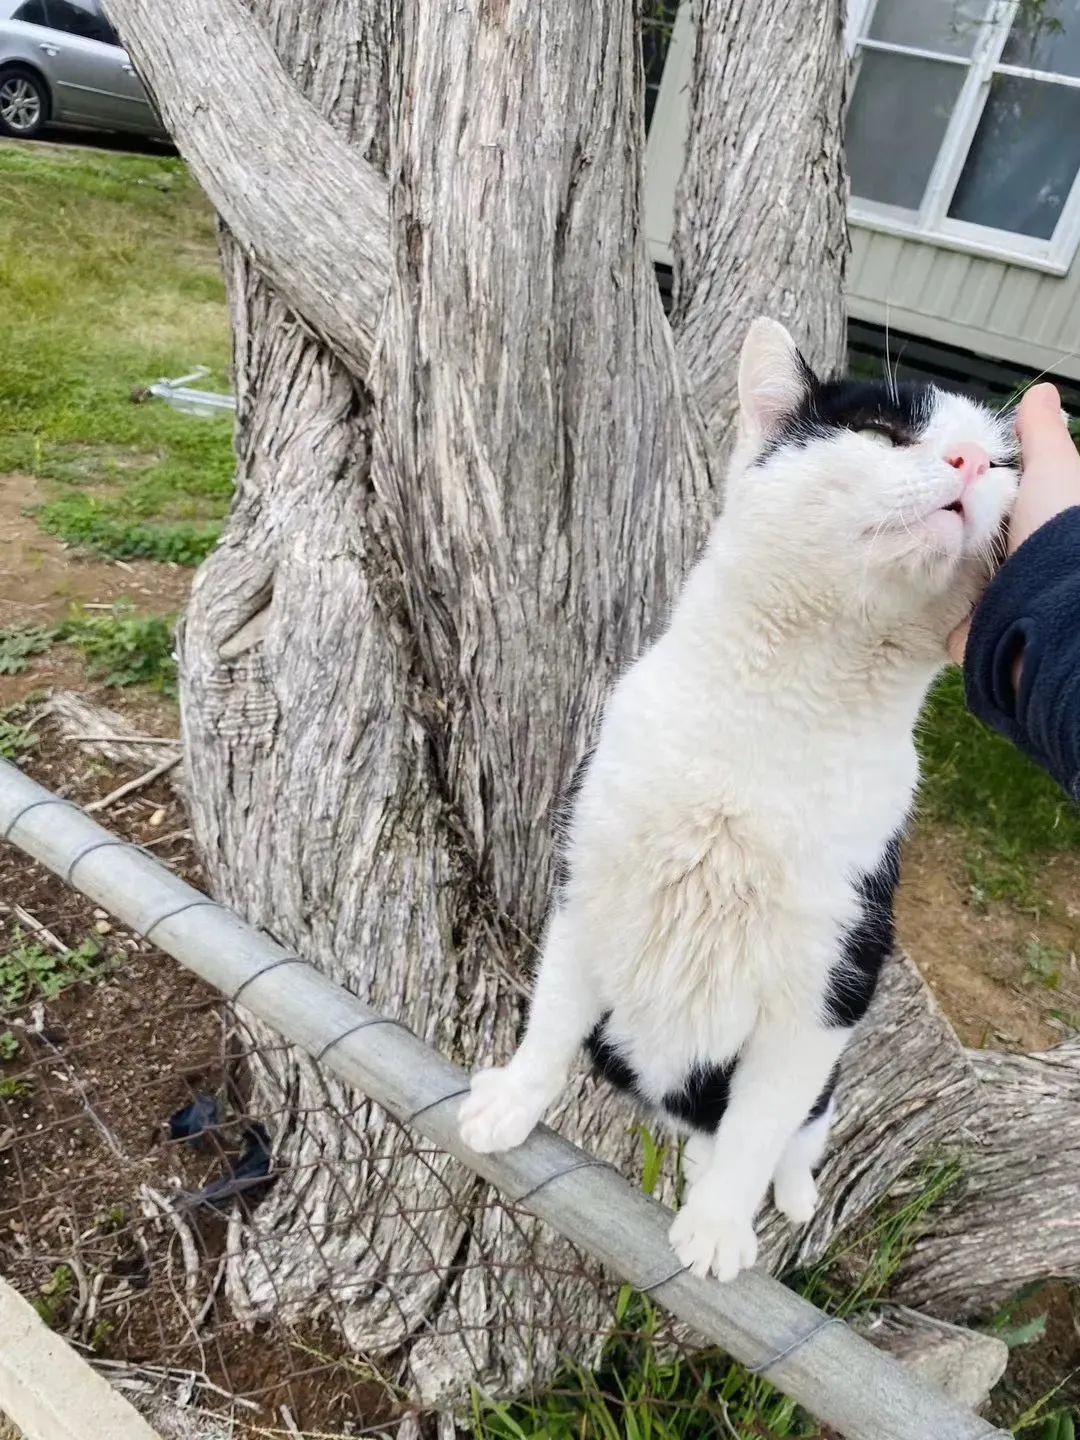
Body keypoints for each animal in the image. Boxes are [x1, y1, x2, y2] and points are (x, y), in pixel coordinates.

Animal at [460, 318, 1019, 1284]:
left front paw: (721, 1226)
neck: (785, 710)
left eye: (1006, 462)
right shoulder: (585, 889)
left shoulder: (831, 986)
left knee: (789, 1137)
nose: (972, 463)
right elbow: (552, 1021)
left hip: (827, 1074)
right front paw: (513, 1102)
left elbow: (761, 1126)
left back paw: (782, 1193)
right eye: (884, 431)